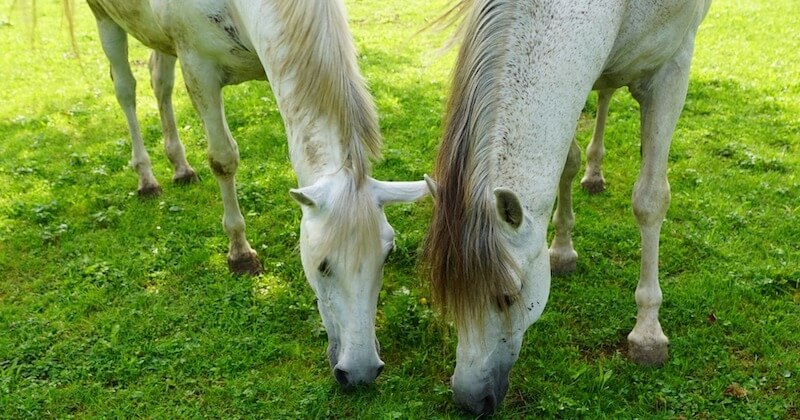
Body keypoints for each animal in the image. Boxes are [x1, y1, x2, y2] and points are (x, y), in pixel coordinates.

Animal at [67, 0, 432, 388]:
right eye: (321, 265)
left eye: (386, 257)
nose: (361, 372)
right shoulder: (199, 71)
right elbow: (223, 159)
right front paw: (240, 254)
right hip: (106, 21)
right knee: (126, 89)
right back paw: (147, 178)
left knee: (159, 81)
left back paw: (180, 167)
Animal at [422, 0, 708, 414]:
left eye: (508, 296)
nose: (470, 400)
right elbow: (567, 164)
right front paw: (561, 251)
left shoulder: (672, 70)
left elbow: (650, 201)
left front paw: (648, 334)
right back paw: (593, 173)